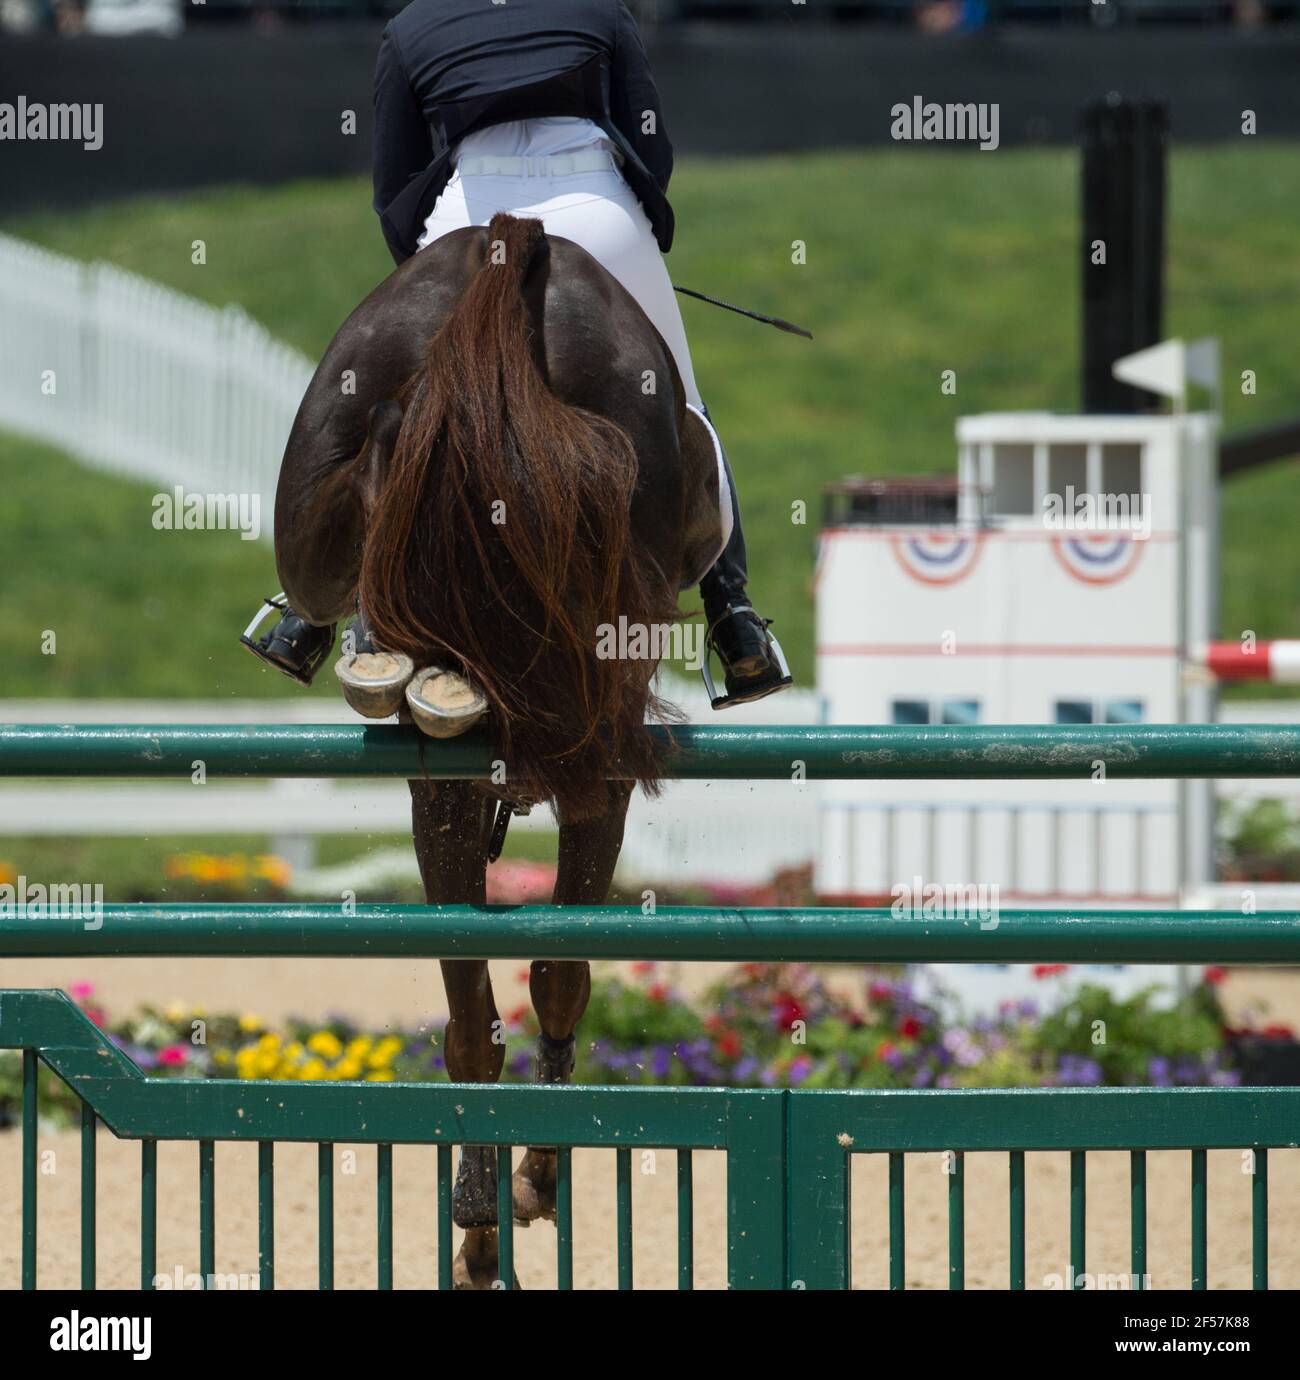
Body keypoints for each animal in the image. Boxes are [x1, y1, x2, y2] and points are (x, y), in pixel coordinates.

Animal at [273, 209, 728, 1286]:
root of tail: (510, 242)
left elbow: (491, 997)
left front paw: (493, 1208)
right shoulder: (593, 759)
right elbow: (553, 975)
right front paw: (522, 1193)